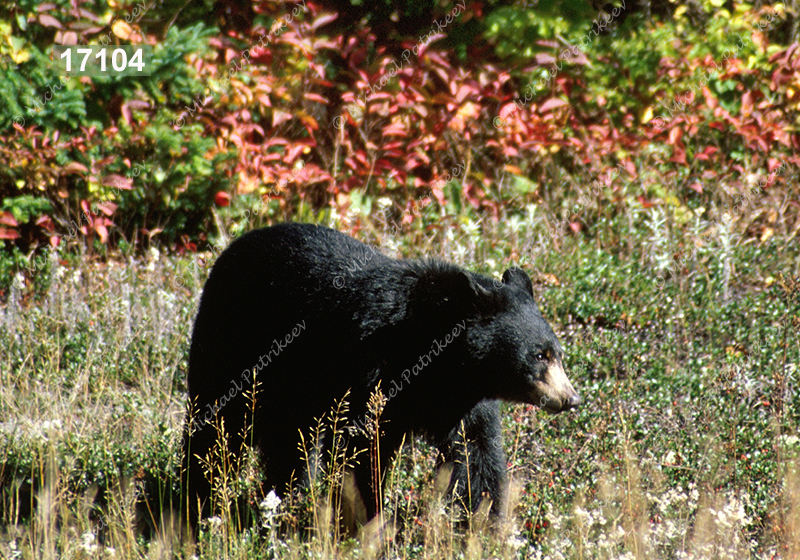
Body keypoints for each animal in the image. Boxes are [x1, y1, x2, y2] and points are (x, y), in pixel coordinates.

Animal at [183, 222, 580, 528]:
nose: (571, 398)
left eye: (557, 352)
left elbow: (475, 455)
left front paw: (483, 524)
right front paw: (367, 520)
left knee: (288, 443)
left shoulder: (463, 399)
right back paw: (198, 502)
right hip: (234, 348)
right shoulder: (371, 373)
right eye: (539, 355)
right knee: (217, 428)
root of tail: (231, 248)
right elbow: (363, 450)